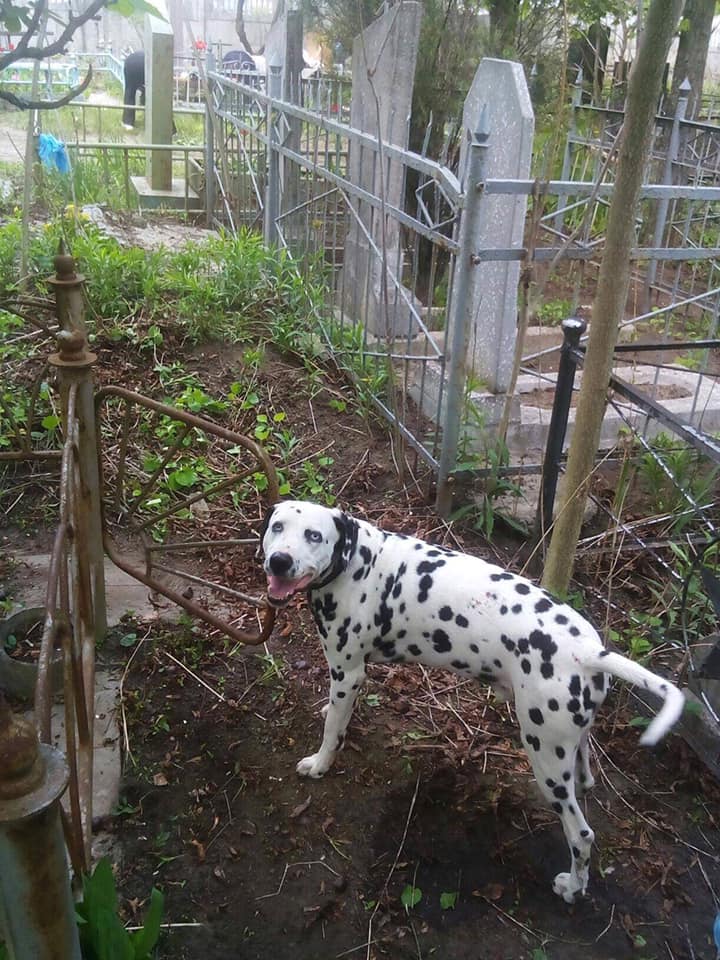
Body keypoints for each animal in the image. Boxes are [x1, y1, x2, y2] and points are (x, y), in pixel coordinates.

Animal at [260, 498, 688, 904]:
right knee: (584, 773)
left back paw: (572, 888)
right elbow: (338, 714)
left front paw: (320, 764)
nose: (278, 561)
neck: (359, 562)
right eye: (277, 527)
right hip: (569, 743)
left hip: (544, 757)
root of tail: (588, 651)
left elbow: (331, 731)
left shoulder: (348, 671)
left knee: (581, 835)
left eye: (314, 535)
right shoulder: (350, 678)